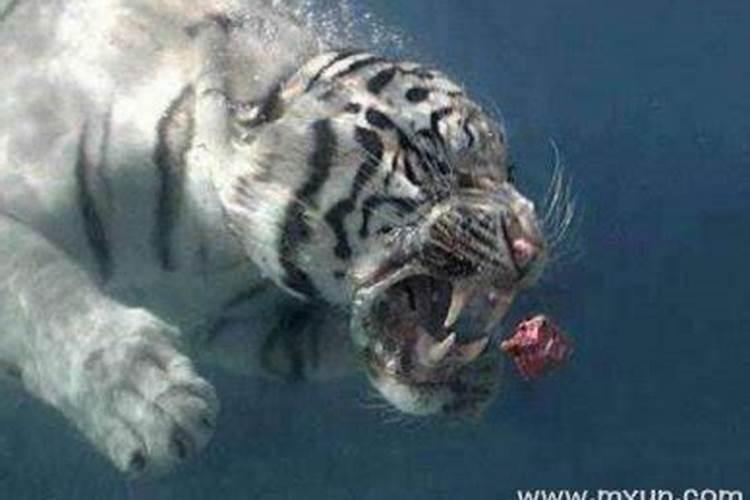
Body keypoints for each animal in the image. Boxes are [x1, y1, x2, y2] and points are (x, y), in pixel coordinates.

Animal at [0, 0, 550, 476]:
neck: (218, 242)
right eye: (445, 158)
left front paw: (473, 371)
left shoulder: (232, 320)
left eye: (510, 171)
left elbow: (301, 349)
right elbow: (44, 293)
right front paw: (147, 399)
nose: (531, 247)